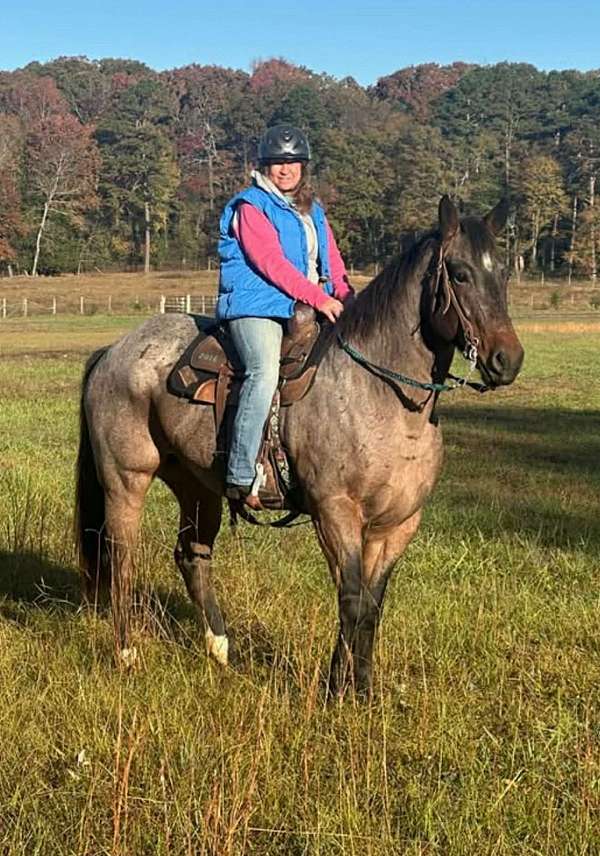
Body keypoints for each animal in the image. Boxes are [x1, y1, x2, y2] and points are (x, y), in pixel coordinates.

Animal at [75, 196, 524, 696]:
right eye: (460, 273)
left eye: (504, 272)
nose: (508, 359)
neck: (380, 391)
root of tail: (114, 350)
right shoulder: (334, 512)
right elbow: (350, 597)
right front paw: (337, 691)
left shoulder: (399, 523)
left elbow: (373, 604)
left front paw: (363, 689)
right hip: (126, 480)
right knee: (120, 559)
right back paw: (127, 654)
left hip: (198, 487)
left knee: (192, 555)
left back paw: (220, 649)